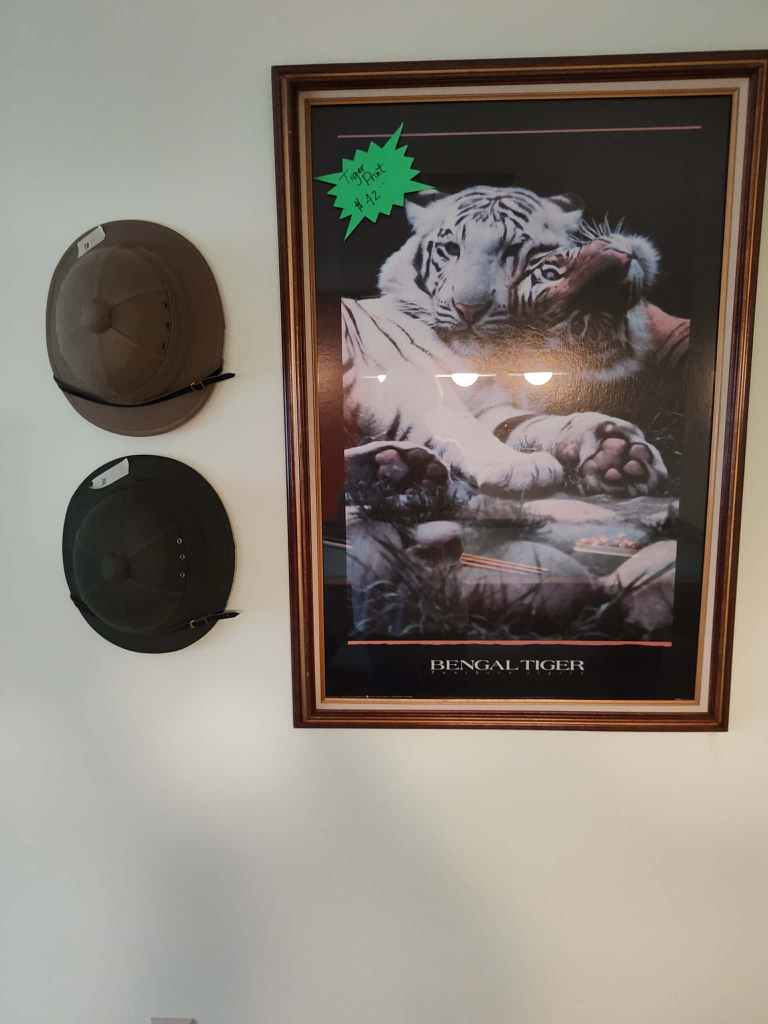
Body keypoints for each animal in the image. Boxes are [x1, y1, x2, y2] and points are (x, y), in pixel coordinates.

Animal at [344, 187, 668, 500]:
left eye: (512, 250)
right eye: (452, 249)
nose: (468, 310)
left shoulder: (489, 406)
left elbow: (530, 422)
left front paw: (616, 451)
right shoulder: (406, 382)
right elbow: (458, 422)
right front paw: (518, 465)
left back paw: (400, 467)